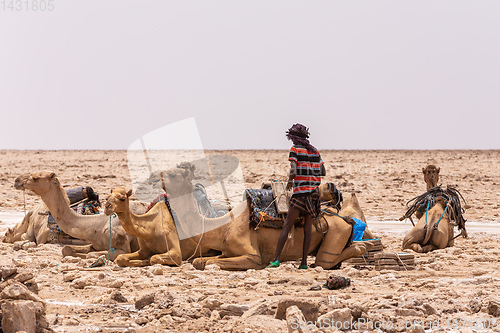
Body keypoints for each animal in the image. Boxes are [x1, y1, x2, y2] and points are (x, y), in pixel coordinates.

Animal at [147, 163, 376, 270]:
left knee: (327, 259)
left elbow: (204, 262)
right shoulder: (226, 251)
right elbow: (199, 261)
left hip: (336, 232)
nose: (152, 176)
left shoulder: (251, 255)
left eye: (174, 174)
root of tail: (344, 219)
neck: (222, 226)